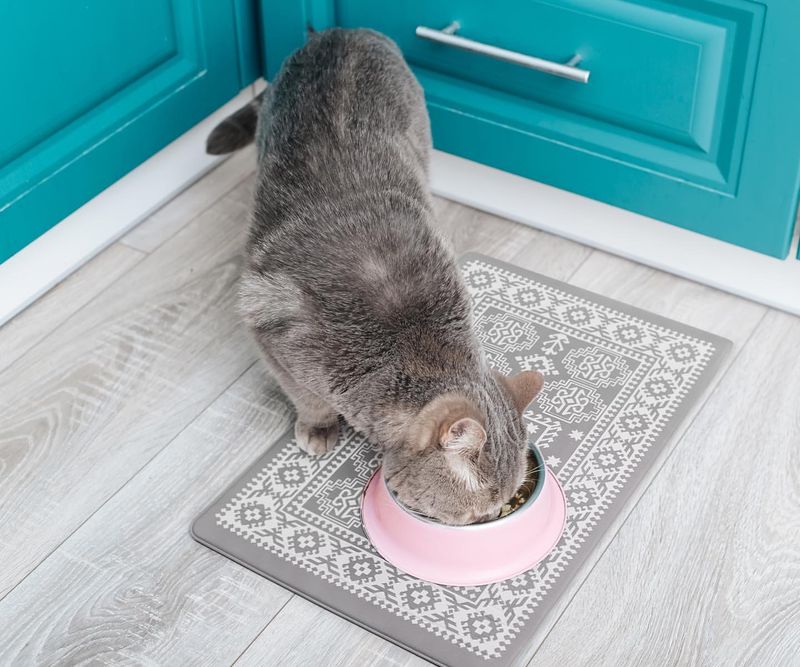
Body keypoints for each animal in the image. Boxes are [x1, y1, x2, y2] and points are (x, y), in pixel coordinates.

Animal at [206, 27, 544, 528]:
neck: (411, 346)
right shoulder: (270, 329)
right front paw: (318, 426)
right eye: (472, 515)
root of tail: (339, 31)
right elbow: (307, 397)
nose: (491, 521)